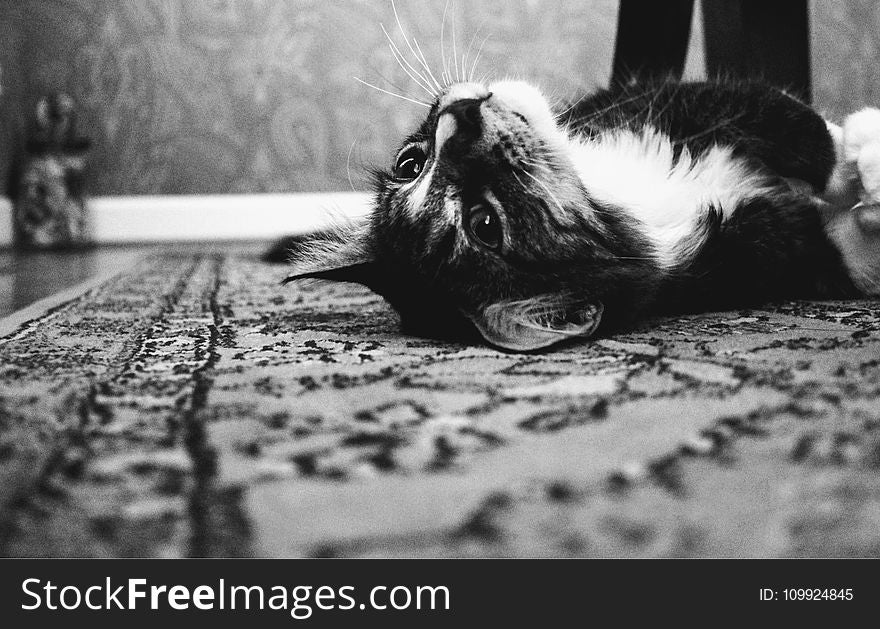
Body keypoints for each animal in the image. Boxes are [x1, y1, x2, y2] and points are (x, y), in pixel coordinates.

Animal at [276, 76, 880, 350]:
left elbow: (795, 122)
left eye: (410, 163)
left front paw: (858, 151)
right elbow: (841, 243)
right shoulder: (761, 249)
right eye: (484, 225)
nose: (461, 116)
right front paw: (866, 176)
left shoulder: (674, 101)